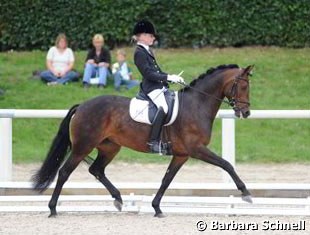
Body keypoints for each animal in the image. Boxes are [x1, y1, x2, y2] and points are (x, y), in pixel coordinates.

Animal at [32, 63, 254, 218]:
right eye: (242, 86)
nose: (246, 112)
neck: (196, 105)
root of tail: (82, 106)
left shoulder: (182, 155)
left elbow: (166, 180)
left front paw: (157, 208)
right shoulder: (196, 149)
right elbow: (226, 164)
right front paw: (246, 193)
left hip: (110, 147)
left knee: (96, 170)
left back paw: (119, 199)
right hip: (83, 147)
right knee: (64, 172)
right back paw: (53, 209)